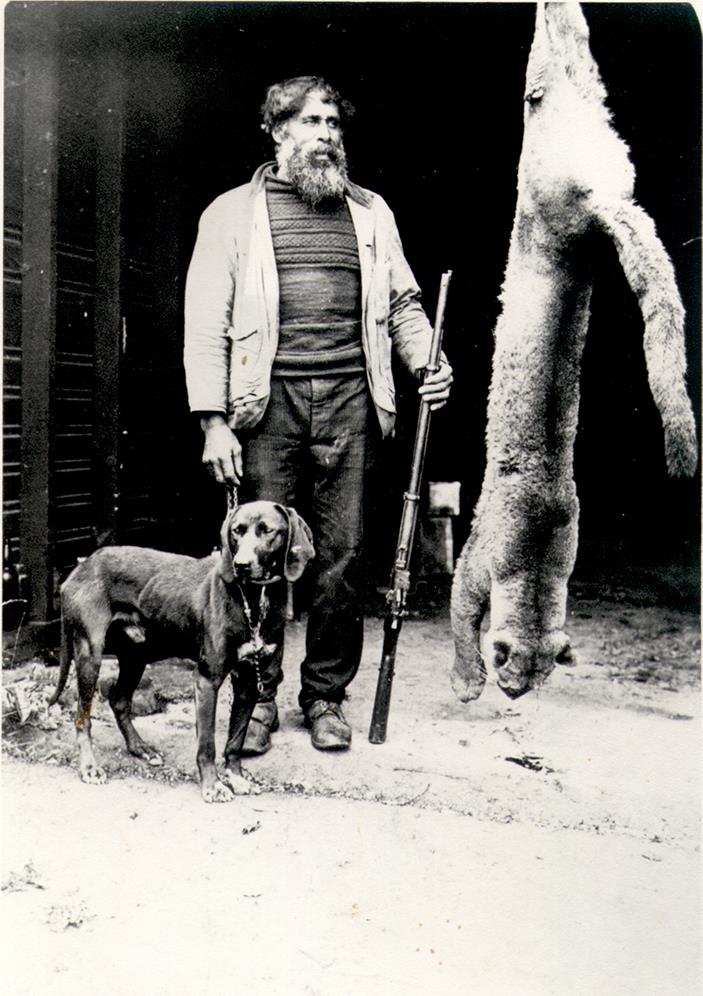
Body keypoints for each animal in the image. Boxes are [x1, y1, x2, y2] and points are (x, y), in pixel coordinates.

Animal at [49, 502, 314, 804]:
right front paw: (212, 785)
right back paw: (89, 767)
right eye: (237, 531)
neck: (254, 599)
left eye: (268, 530)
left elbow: (236, 739)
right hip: (89, 655)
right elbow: (207, 745)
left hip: (137, 656)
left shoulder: (248, 682)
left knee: (119, 701)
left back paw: (140, 748)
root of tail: (80, 567)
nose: (241, 565)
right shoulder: (207, 680)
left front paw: (235, 776)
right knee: (82, 717)